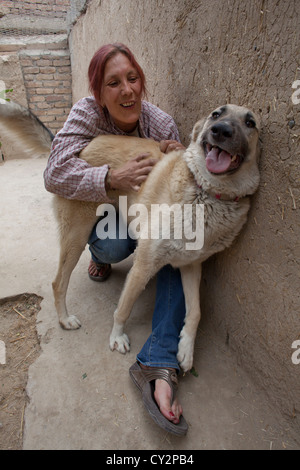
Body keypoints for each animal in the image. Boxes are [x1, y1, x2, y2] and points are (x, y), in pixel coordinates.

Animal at [0, 102, 260, 370]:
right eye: (216, 114)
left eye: (250, 123)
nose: (221, 130)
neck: (207, 194)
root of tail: (80, 149)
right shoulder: (143, 266)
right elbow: (123, 308)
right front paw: (116, 337)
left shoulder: (190, 266)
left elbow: (195, 312)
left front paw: (186, 350)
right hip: (76, 236)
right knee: (58, 282)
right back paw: (65, 319)